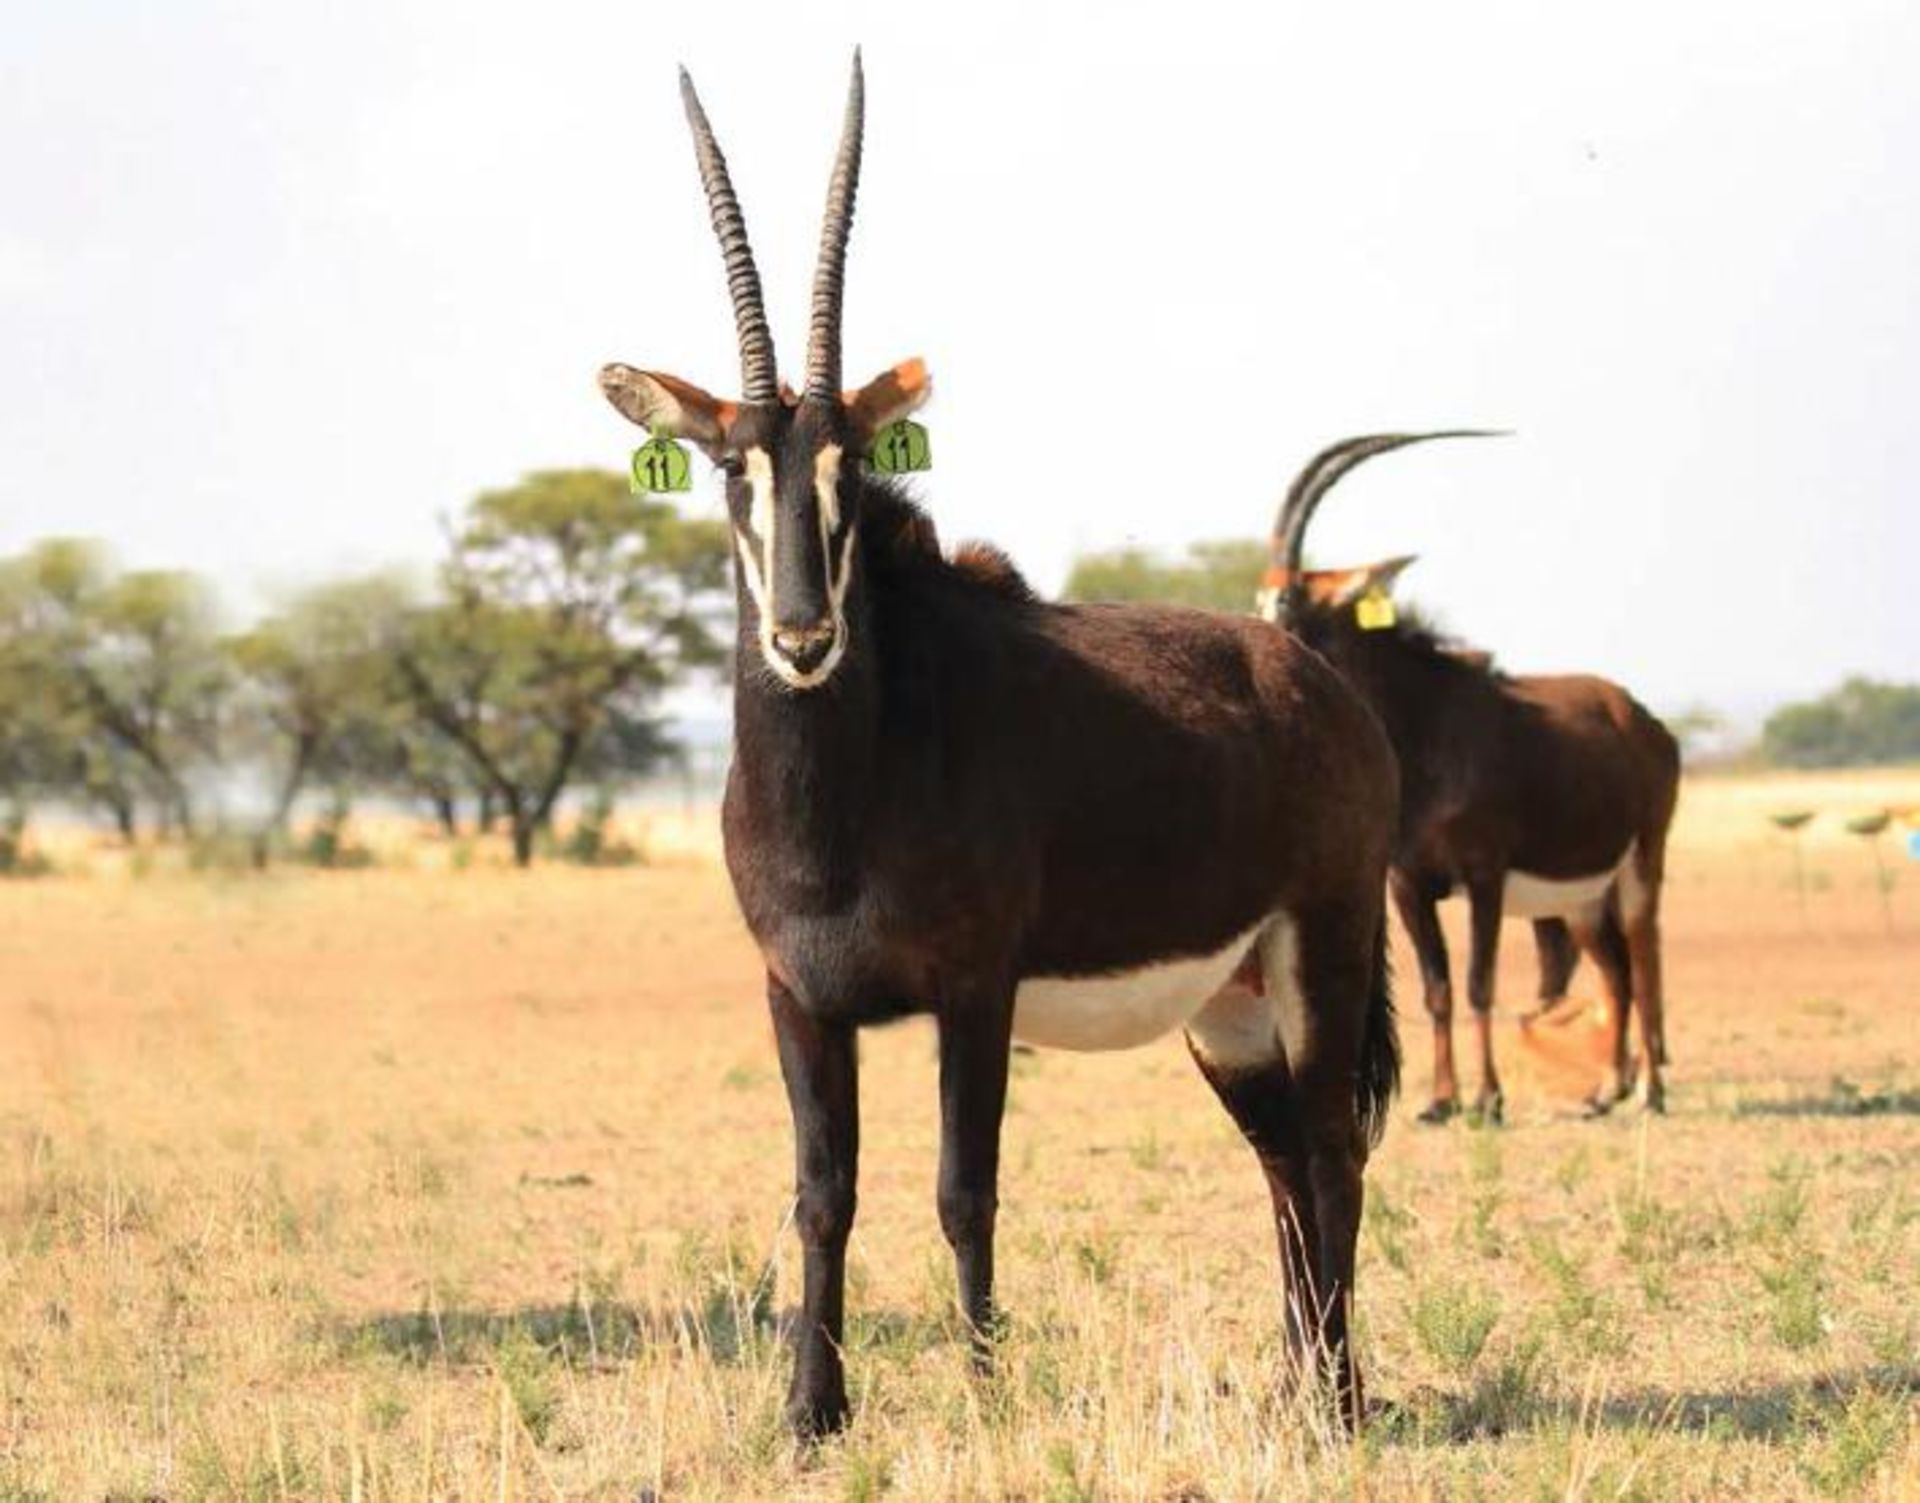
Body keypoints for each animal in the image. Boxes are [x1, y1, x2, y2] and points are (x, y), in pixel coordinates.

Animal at [591, 58, 1405, 1443]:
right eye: (728, 467)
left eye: (847, 465)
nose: (802, 634)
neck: (843, 796)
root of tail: (1317, 677)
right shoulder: (799, 998)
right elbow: (823, 1194)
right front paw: (811, 1413)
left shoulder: (974, 991)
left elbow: (963, 1188)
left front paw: (980, 1397)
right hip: (1230, 1003)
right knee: (1286, 1157)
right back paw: (1294, 1384)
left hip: (1324, 943)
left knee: (1335, 1147)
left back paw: (1339, 1403)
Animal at [1251, 431, 1674, 1113]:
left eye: (1288, 599)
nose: (1259, 646)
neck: (1424, 731)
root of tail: (1638, 716)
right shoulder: (1407, 884)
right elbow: (1438, 990)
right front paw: (1443, 1100)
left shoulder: (1484, 876)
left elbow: (1478, 984)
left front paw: (1489, 1099)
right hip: (1583, 896)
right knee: (1617, 970)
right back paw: (1608, 1088)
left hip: (1641, 863)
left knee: (1645, 955)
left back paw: (1651, 1092)